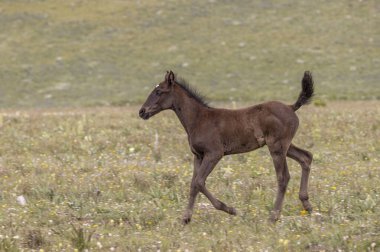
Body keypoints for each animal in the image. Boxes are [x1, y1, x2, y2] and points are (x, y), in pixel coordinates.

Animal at [140, 70, 314, 223]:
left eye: (159, 91)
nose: (142, 112)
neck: (199, 119)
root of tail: (291, 107)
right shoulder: (198, 156)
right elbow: (193, 184)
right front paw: (185, 219)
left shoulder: (214, 153)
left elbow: (199, 182)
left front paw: (230, 209)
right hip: (285, 146)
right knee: (306, 157)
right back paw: (307, 205)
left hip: (277, 147)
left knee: (283, 177)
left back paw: (273, 216)